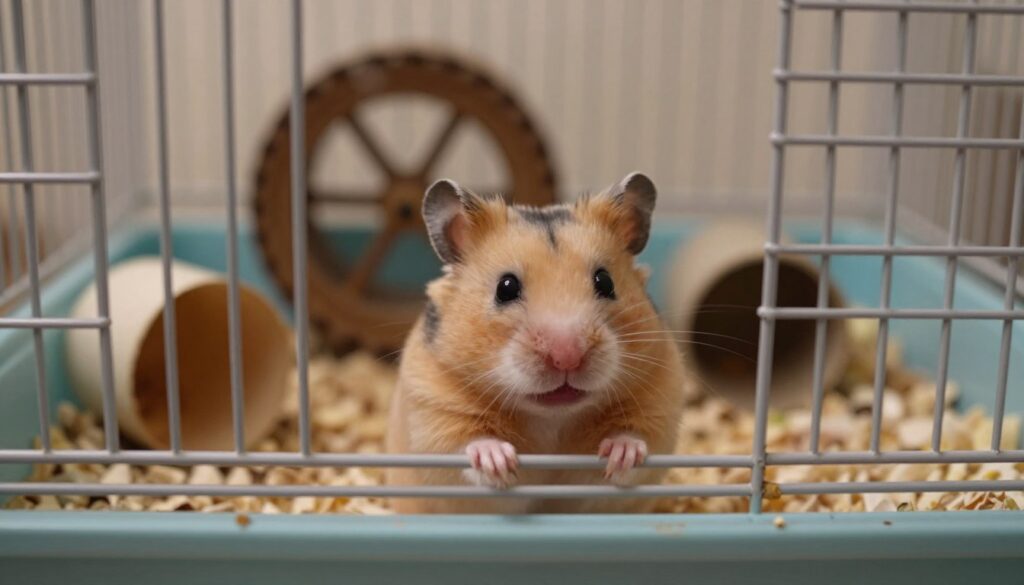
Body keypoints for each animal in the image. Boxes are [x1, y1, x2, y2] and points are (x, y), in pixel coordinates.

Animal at [385, 172, 685, 514]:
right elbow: (465, 444)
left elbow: (639, 437)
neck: (551, 417)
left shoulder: (660, 398)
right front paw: (498, 461)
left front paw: (620, 453)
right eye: (505, 288)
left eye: (605, 282)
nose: (567, 357)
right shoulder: (433, 409)